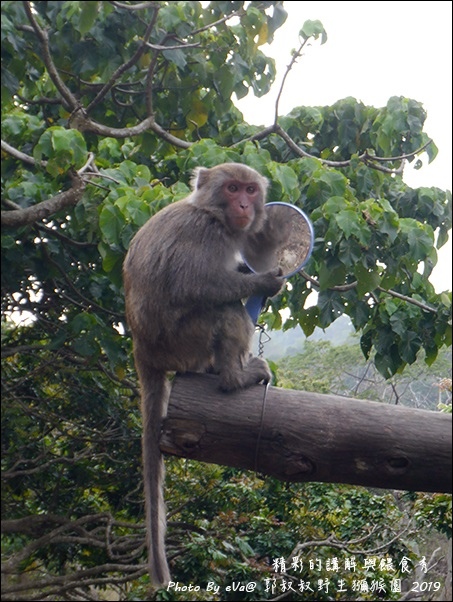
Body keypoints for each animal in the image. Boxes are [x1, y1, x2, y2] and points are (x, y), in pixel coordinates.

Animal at [121, 162, 282, 584]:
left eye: (249, 190)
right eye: (231, 189)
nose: (244, 204)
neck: (212, 214)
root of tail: (142, 349)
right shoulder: (205, 235)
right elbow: (194, 285)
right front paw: (263, 280)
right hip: (182, 340)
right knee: (224, 307)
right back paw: (233, 377)